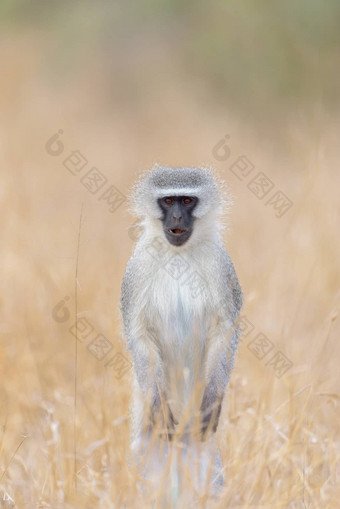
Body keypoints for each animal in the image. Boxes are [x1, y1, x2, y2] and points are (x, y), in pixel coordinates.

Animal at [119, 165, 242, 494]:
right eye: (168, 201)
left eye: (187, 201)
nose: (176, 218)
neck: (179, 253)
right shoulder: (137, 268)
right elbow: (138, 333)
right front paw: (160, 406)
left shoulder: (221, 265)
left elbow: (226, 330)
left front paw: (212, 402)